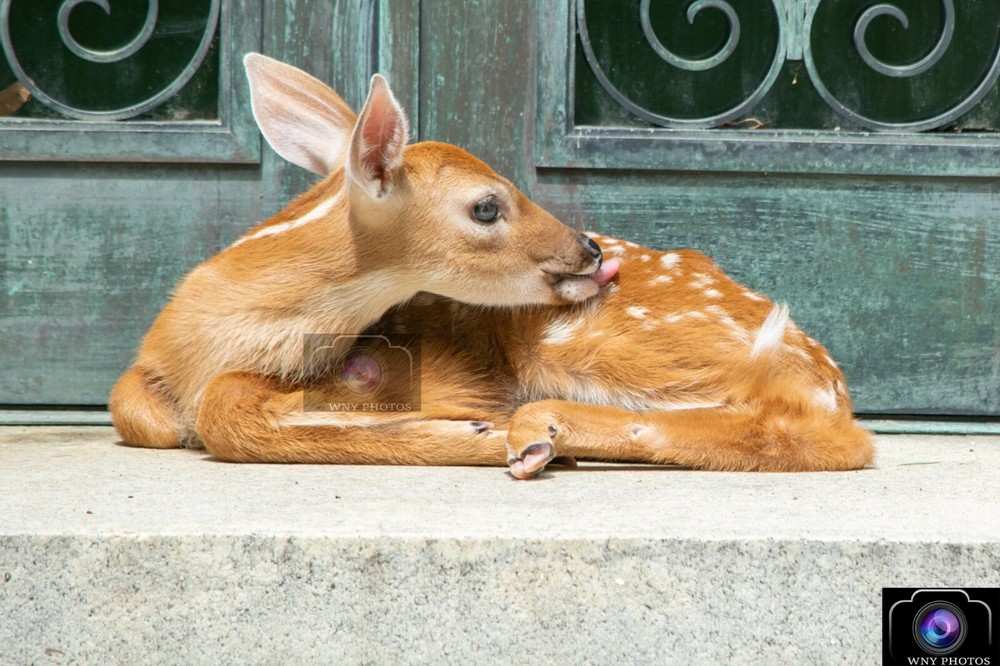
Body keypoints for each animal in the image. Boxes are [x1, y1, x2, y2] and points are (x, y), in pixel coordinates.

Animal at [109, 54, 874, 480]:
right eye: (485, 206)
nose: (591, 250)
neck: (203, 343)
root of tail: (819, 362)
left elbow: (226, 411)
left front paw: (469, 432)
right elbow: (139, 409)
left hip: (603, 339)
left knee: (829, 431)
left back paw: (538, 429)